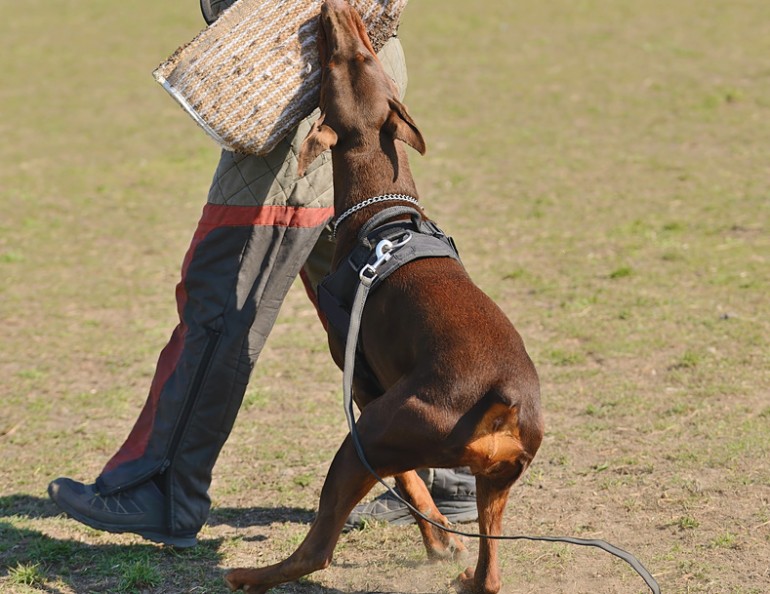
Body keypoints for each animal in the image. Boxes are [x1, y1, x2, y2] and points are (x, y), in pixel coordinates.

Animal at [225, 2, 544, 588]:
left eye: (341, 64)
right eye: (365, 60)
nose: (337, 9)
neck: (381, 211)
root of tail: (502, 401)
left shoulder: (364, 385)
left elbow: (411, 482)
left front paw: (439, 538)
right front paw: (444, 543)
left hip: (371, 436)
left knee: (317, 550)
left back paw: (249, 575)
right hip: (498, 481)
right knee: (491, 571)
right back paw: (469, 577)